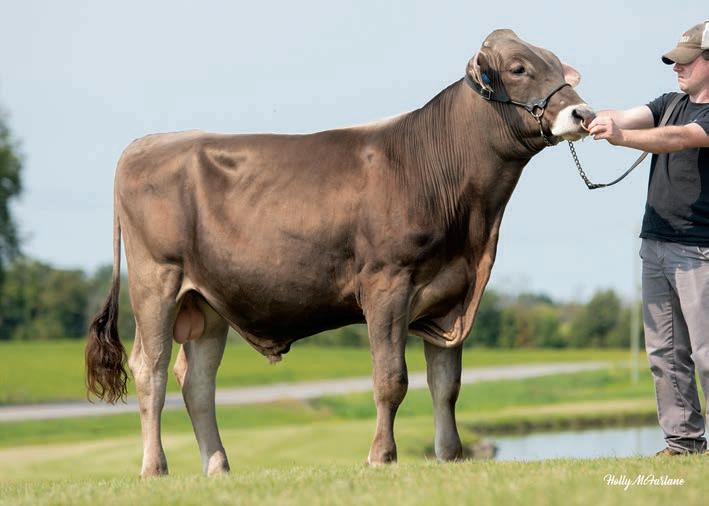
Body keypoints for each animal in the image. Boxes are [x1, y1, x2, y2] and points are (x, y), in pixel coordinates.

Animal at [86, 29, 594, 477]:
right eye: (519, 68)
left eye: (558, 64)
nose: (583, 113)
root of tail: (148, 142)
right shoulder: (387, 284)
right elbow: (391, 379)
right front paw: (381, 457)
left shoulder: (452, 294)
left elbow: (446, 386)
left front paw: (451, 456)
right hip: (157, 279)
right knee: (149, 369)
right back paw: (155, 467)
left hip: (207, 299)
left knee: (196, 380)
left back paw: (218, 466)